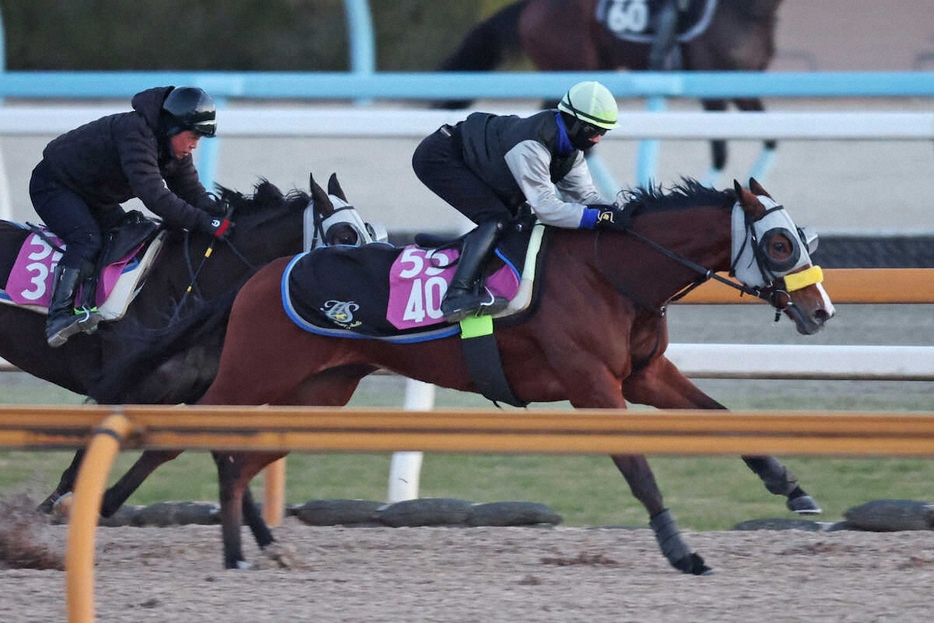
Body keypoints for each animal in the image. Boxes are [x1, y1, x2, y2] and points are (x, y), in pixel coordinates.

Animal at [196, 178, 832, 572]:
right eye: (779, 242)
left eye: (804, 237)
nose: (822, 310)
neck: (609, 272)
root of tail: (263, 273)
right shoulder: (593, 387)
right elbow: (638, 468)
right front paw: (681, 552)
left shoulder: (643, 376)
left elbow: (718, 417)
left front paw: (791, 487)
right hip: (253, 375)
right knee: (203, 432)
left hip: (320, 394)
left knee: (239, 460)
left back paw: (243, 553)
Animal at [438, 0, 784, 184]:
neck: (745, 11)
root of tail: (530, 7)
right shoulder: (712, 86)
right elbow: (720, 155)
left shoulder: (743, 85)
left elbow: (770, 138)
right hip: (572, 69)